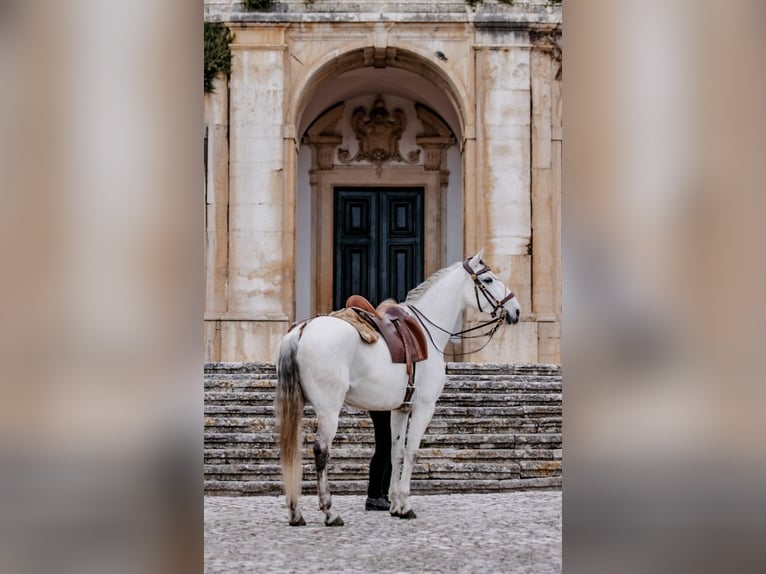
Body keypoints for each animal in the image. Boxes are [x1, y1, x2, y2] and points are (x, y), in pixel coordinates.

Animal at [276, 251, 520, 528]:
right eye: (488, 279)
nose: (516, 310)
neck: (428, 330)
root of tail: (301, 330)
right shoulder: (424, 407)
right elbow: (412, 452)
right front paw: (405, 504)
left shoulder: (399, 409)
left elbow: (396, 453)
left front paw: (394, 504)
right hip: (328, 410)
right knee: (321, 451)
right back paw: (330, 512)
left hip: (298, 405)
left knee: (292, 450)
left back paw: (295, 513)